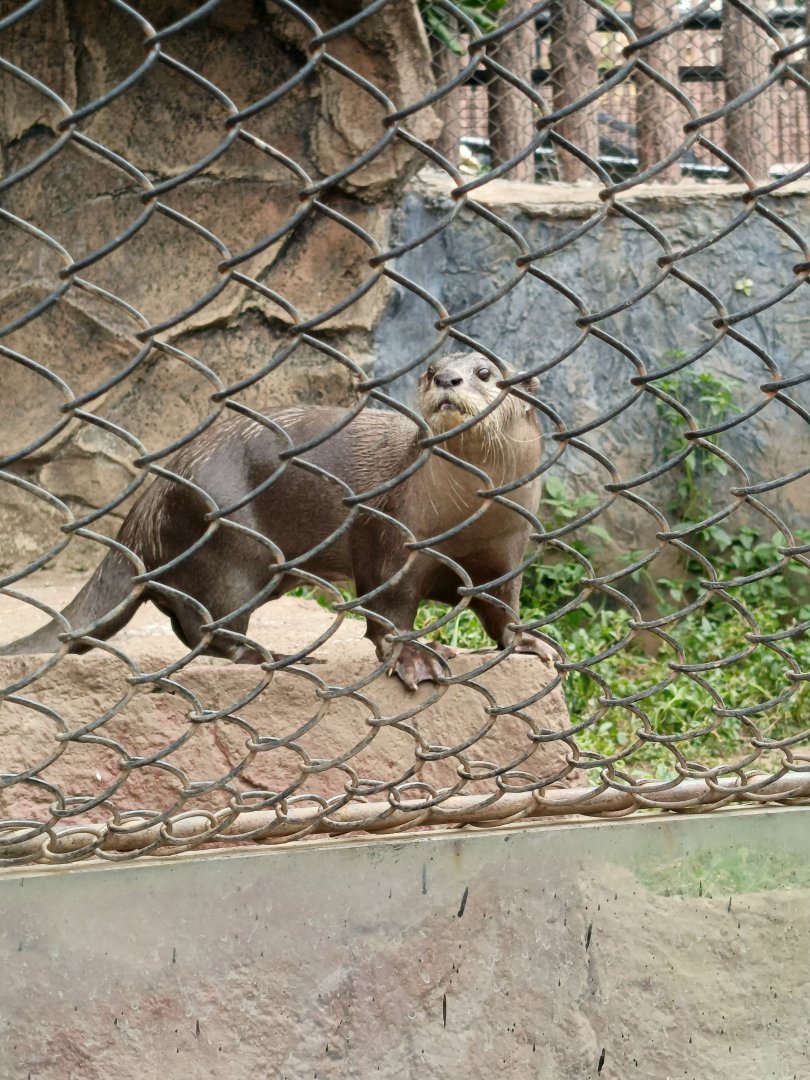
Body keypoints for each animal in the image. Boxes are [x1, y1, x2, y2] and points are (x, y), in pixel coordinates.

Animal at [1, 353, 553, 689]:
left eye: (485, 372)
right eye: (428, 369)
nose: (446, 379)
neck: (471, 516)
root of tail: (154, 494)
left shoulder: (506, 552)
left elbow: (502, 606)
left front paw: (528, 640)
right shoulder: (391, 536)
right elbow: (389, 612)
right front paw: (415, 657)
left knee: (185, 620)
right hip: (230, 543)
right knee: (210, 626)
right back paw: (271, 656)